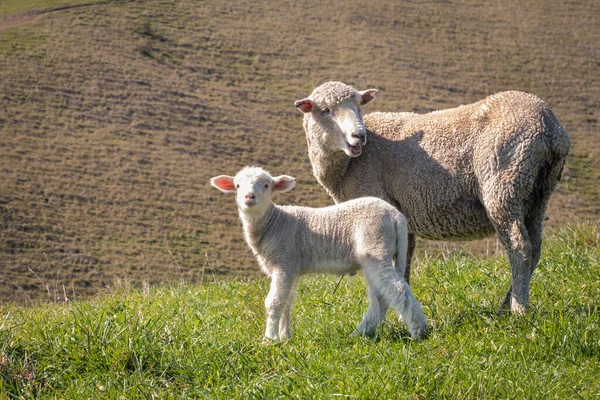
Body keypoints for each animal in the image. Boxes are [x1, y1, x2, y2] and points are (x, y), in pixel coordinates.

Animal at [209, 166, 428, 340]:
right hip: (378, 254)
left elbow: (274, 302)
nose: (249, 197)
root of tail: (396, 216)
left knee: (397, 291)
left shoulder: (284, 262)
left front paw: (269, 339)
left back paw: (419, 332)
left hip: (375, 246)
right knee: (381, 299)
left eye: (266, 185)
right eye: (237, 185)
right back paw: (359, 333)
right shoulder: (292, 268)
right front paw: (286, 337)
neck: (274, 222)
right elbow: (287, 302)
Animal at [296, 81, 572, 314]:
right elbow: (403, 262)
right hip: (536, 193)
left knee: (519, 247)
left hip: (504, 181)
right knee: (535, 248)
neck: (346, 166)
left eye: (358, 106)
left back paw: (519, 309)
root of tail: (549, 126)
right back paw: (506, 304)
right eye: (325, 110)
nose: (359, 136)